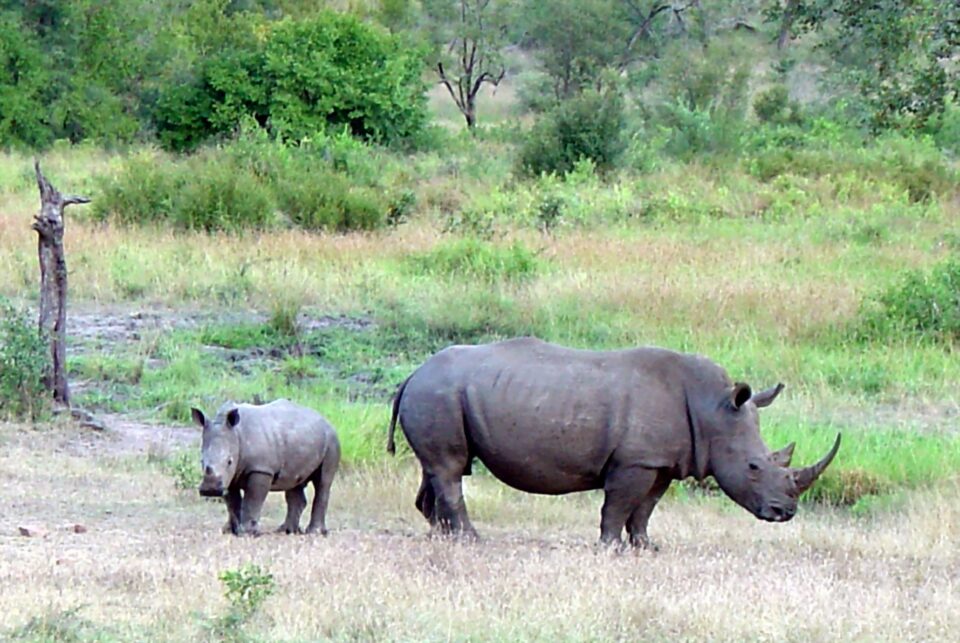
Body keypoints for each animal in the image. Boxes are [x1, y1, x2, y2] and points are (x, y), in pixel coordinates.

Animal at [193, 399, 340, 536]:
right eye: (201, 461)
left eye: (229, 461)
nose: (210, 490)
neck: (236, 434)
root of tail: (326, 420)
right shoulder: (230, 477)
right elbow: (232, 502)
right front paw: (230, 531)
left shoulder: (261, 468)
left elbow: (252, 499)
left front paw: (247, 532)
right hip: (301, 439)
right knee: (294, 482)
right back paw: (286, 530)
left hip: (332, 440)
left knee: (323, 482)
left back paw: (314, 532)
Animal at [387, 337, 840, 547]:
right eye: (754, 466)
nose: (785, 513)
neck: (712, 410)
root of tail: (413, 373)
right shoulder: (635, 461)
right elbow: (618, 506)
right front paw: (610, 548)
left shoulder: (660, 462)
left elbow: (645, 509)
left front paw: (646, 547)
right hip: (438, 393)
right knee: (450, 469)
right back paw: (470, 539)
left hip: (441, 394)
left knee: (440, 468)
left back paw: (441, 536)